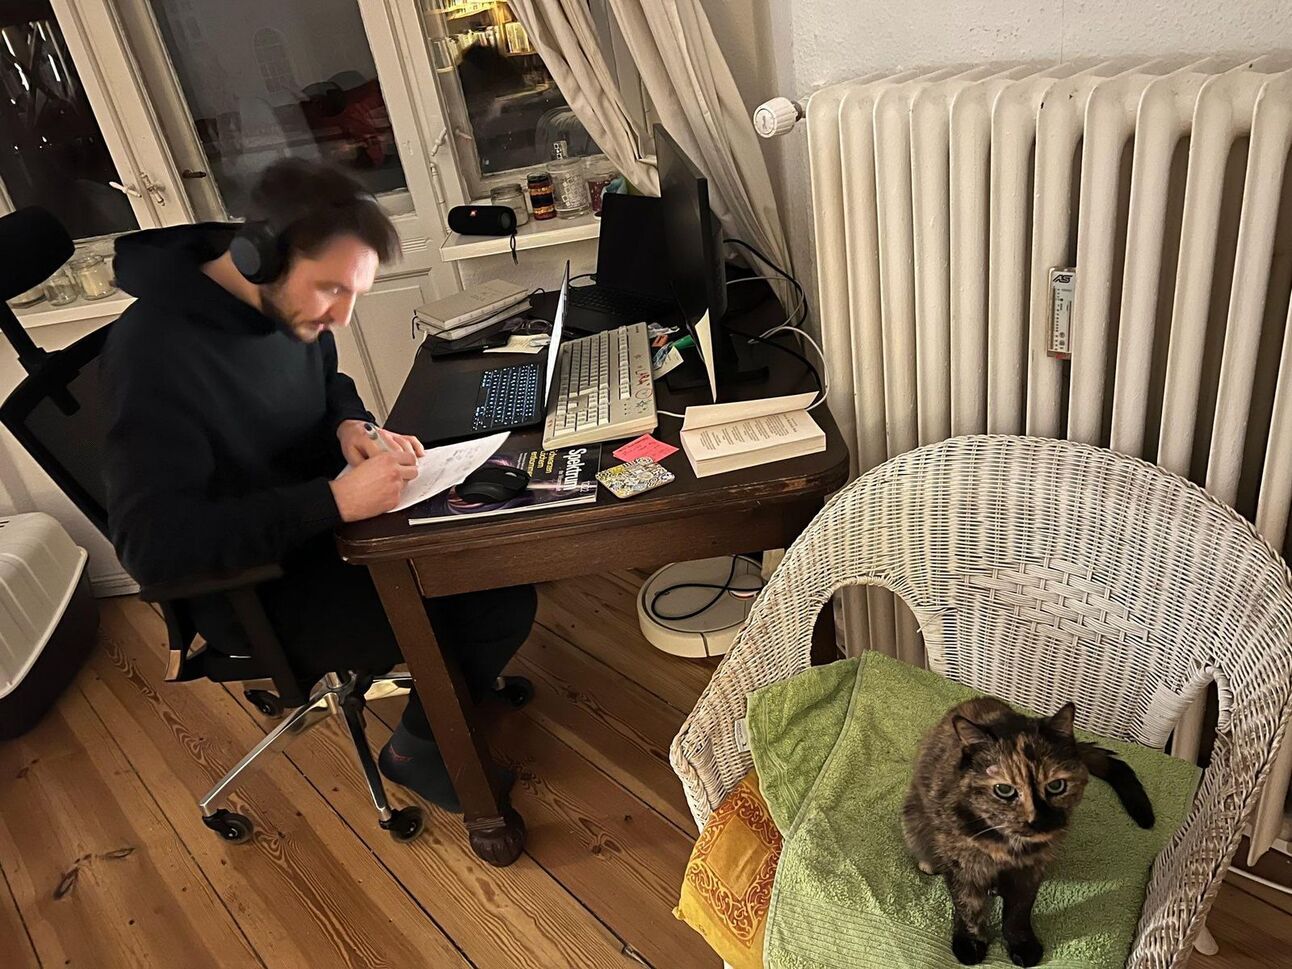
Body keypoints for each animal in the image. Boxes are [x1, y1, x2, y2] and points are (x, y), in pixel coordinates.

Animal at [902, 697, 1155, 967]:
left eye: (1056, 786)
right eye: (1004, 790)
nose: (1037, 820)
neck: (1007, 846)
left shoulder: (1031, 870)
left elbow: (1019, 911)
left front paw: (1021, 944)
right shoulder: (962, 863)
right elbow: (968, 904)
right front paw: (971, 943)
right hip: (913, 822)